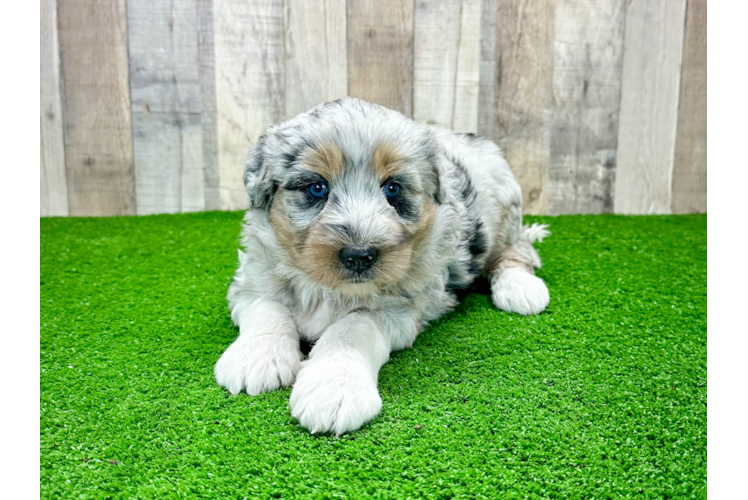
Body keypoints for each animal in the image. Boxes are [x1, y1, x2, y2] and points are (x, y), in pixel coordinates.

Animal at [212, 96, 548, 434]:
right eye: (317, 188)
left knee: (518, 250)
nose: (359, 255)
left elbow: (351, 329)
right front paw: (256, 358)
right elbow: (268, 308)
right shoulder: (252, 278)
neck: (328, 289)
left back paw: (521, 288)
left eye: (393, 189)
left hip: (505, 209)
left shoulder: (399, 310)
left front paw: (334, 388)